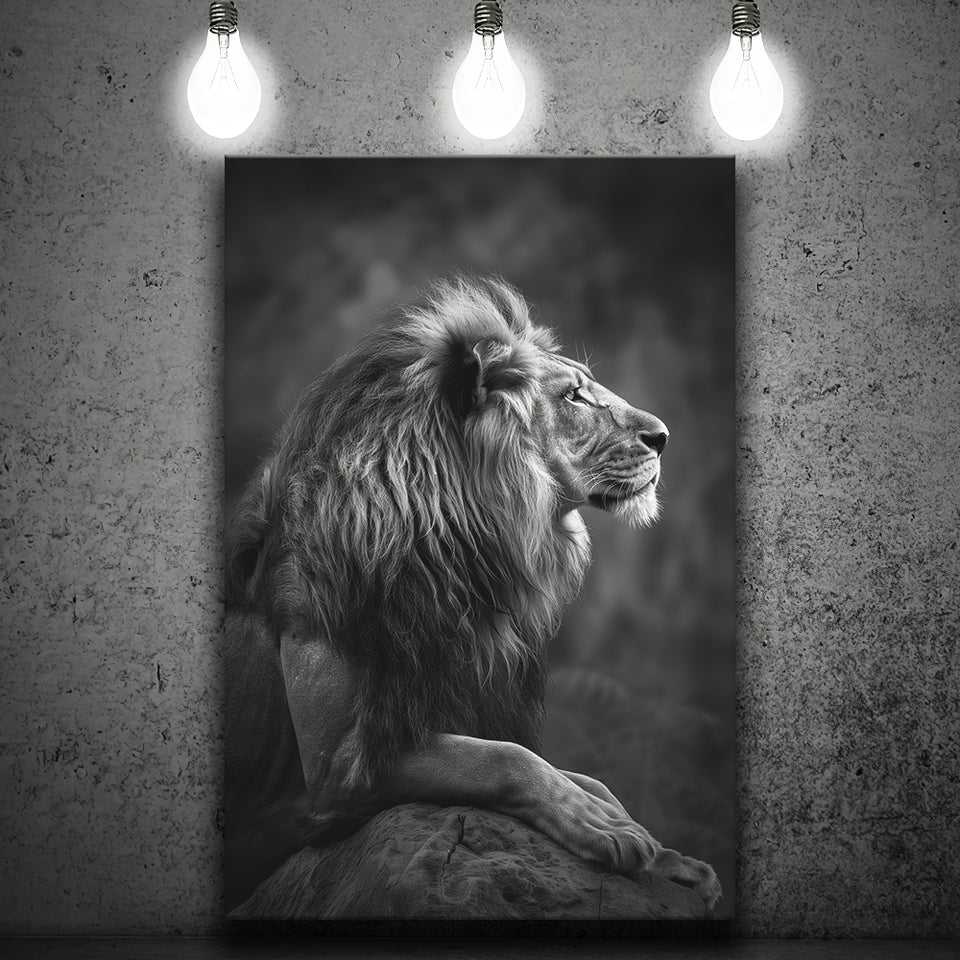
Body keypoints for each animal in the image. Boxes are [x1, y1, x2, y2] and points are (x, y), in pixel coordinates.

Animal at [224, 276, 720, 912]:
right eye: (574, 397)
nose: (663, 437)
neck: (457, 552)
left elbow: (585, 776)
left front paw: (665, 854)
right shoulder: (335, 770)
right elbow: (506, 759)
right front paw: (603, 828)